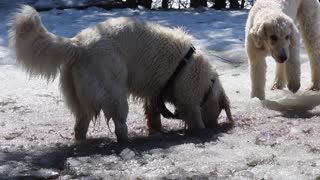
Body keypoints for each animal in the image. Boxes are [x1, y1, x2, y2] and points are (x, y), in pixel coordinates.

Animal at [8, 4, 231, 142]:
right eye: (219, 110)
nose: (215, 125)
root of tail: (78, 44)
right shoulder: (189, 98)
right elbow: (194, 116)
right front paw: (201, 130)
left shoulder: (155, 93)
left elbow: (153, 112)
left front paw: (156, 129)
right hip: (113, 90)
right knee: (118, 122)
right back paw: (126, 139)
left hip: (80, 97)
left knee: (80, 125)